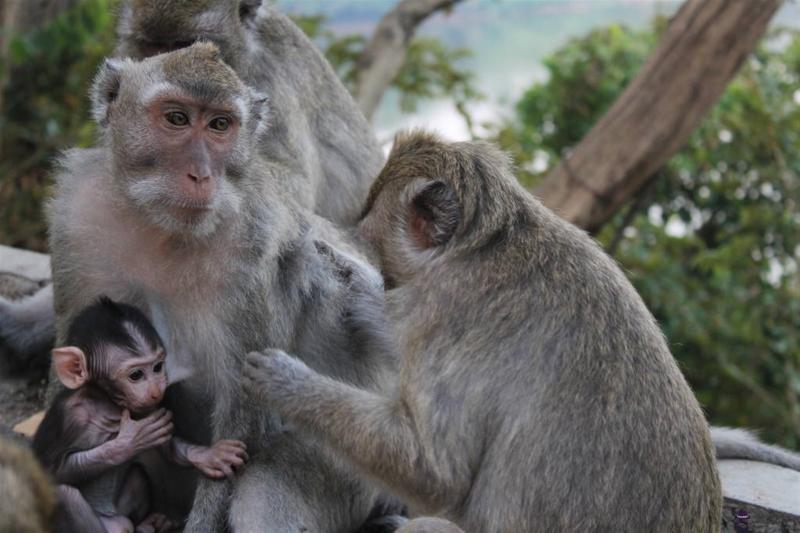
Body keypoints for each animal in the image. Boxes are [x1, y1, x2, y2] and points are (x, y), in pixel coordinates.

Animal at [33, 298, 247, 528]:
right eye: (136, 375)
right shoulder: (71, 417)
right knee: (65, 494)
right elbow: (51, 473)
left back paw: (147, 526)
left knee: (137, 474)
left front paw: (210, 456)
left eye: (157, 367)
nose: (157, 390)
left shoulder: (145, 409)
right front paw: (127, 442)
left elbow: (168, 448)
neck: (108, 406)